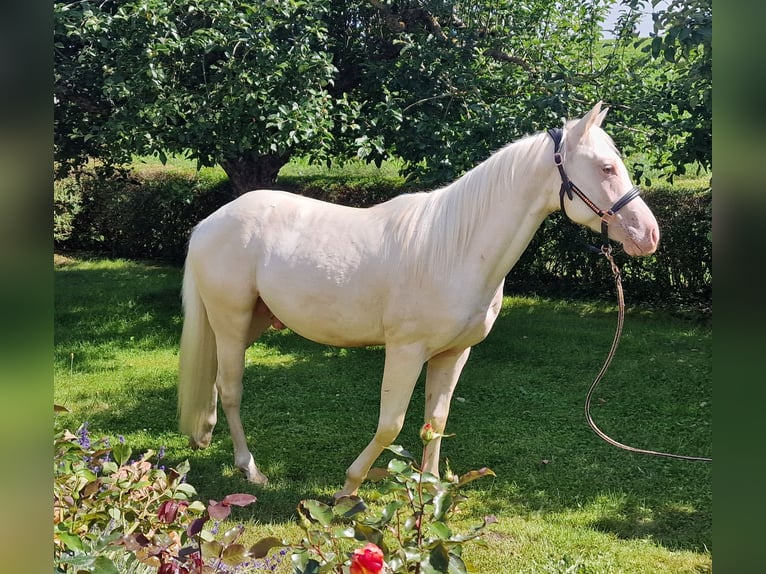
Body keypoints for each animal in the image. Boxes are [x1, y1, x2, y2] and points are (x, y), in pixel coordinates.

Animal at [178, 101, 660, 498]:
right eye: (606, 167)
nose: (649, 235)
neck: (454, 248)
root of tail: (208, 223)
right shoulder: (406, 351)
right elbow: (390, 425)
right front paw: (349, 487)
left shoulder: (453, 353)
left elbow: (436, 421)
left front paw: (428, 488)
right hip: (231, 319)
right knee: (232, 388)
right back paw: (250, 469)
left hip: (254, 320)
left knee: (217, 380)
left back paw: (203, 435)